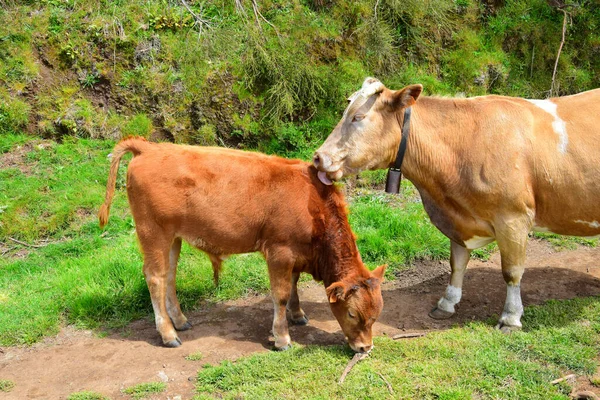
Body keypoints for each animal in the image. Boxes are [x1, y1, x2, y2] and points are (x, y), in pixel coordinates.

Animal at [99, 138, 384, 354]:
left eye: (375, 315)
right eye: (352, 314)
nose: (365, 348)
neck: (311, 200)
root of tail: (148, 147)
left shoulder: (295, 253)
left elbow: (293, 284)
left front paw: (297, 314)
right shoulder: (279, 251)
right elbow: (280, 294)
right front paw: (282, 338)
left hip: (172, 238)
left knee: (169, 276)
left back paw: (179, 321)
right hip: (152, 232)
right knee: (155, 278)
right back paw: (168, 334)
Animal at [314, 77, 600, 332]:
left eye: (358, 117)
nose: (318, 157)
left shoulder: (513, 217)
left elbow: (512, 271)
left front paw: (510, 318)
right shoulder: (456, 219)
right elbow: (457, 263)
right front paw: (447, 303)